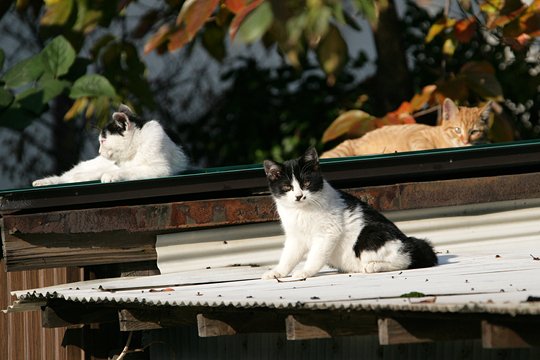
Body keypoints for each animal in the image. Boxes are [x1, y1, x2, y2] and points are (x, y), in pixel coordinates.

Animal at [32, 103, 188, 186]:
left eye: (103, 141)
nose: (99, 152)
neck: (134, 151)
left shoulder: (160, 168)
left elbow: (130, 170)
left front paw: (111, 175)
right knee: (66, 176)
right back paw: (43, 182)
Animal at [262, 148, 438, 280]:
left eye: (306, 183)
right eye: (287, 187)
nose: (299, 196)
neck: (302, 210)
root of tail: (409, 241)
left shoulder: (328, 232)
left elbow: (316, 255)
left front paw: (305, 272)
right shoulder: (295, 237)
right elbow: (288, 256)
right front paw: (277, 272)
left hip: (370, 234)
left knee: (405, 259)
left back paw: (373, 266)